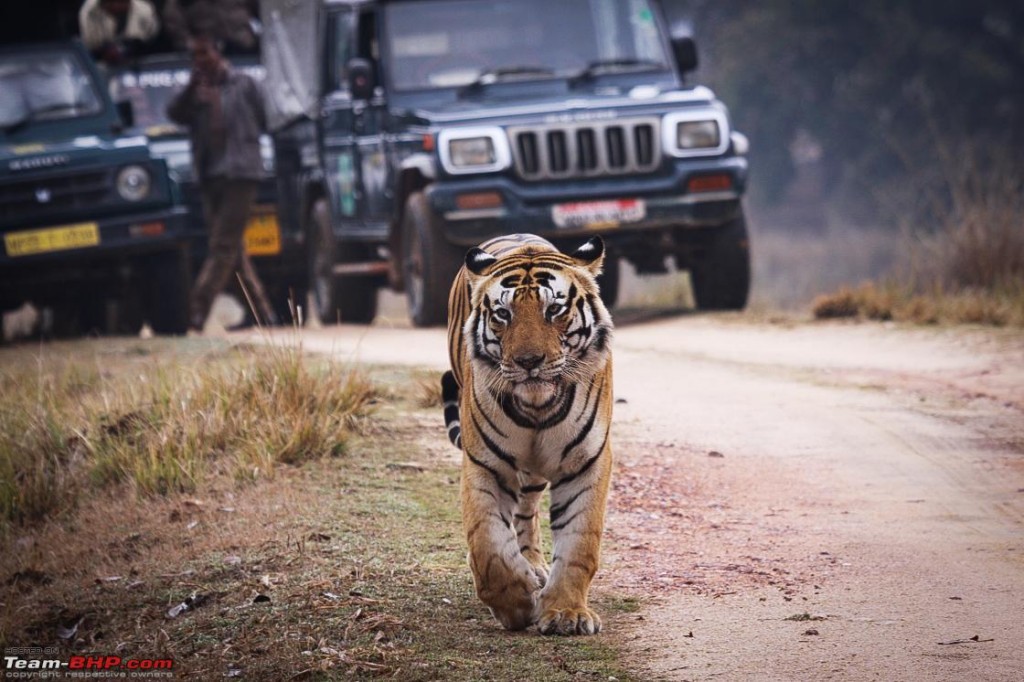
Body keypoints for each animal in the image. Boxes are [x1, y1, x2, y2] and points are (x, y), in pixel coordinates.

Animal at [442, 232, 614, 630]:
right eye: (503, 314)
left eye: (554, 310)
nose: (528, 362)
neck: (538, 406)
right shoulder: (485, 464)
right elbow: (487, 543)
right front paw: (515, 603)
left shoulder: (587, 462)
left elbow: (580, 541)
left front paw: (567, 613)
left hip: (535, 474)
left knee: (527, 511)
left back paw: (535, 565)